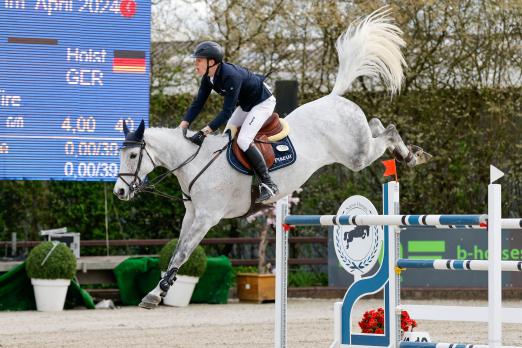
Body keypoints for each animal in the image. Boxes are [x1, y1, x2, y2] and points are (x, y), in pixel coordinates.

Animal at [112, 8, 426, 308]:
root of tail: (334, 97)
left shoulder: (206, 217)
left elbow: (183, 254)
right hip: (356, 148)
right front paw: (159, 290)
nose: (119, 192)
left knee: (386, 132)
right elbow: (176, 252)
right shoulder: (191, 215)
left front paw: (156, 294)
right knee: (376, 124)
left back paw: (412, 155)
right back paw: (406, 152)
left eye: (133, 154)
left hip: (356, 156)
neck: (195, 162)